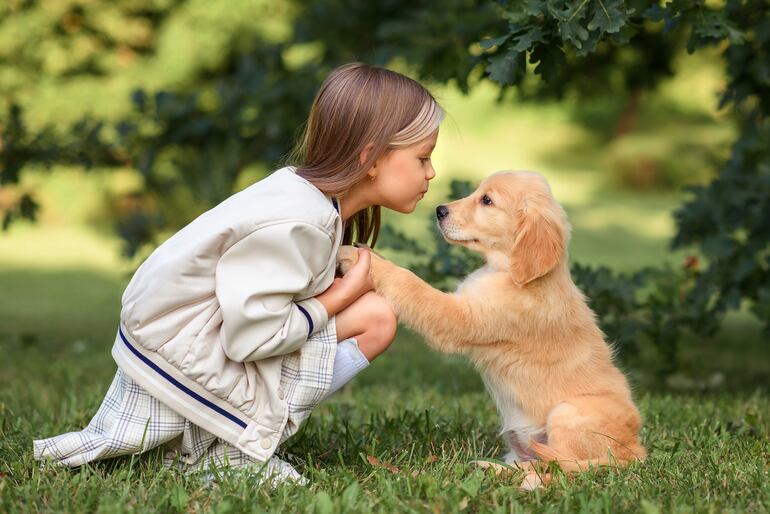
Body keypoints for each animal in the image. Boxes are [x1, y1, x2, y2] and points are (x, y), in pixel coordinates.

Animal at [340, 170, 644, 486]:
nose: (439, 210)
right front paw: (367, 251)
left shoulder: (458, 317)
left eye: (487, 200)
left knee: (561, 465)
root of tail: (634, 452)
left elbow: (411, 283)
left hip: (568, 412)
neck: (508, 271)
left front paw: (356, 257)